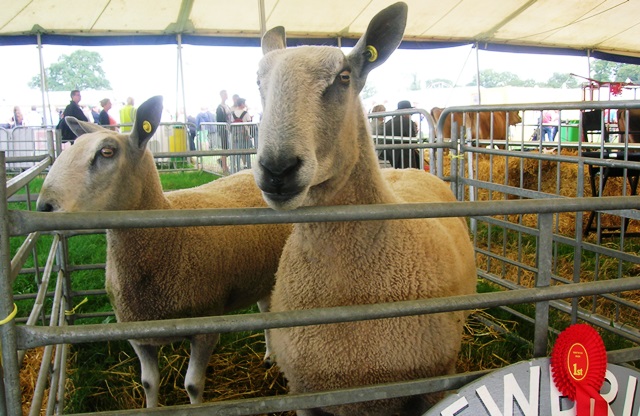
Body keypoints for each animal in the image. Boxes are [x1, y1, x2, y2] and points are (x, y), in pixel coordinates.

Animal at [36, 96, 292, 408]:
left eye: (107, 152)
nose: (44, 207)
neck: (165, 237)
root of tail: (247, 172)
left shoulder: (206, 326)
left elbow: (192, 385)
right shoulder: (137, 331)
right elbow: (148, 382)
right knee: (266, 309)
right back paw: (268, 357)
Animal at [252, 4, 478, 416]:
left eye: (343, 77)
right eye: (258, 80)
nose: (277, 169)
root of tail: (406, 169)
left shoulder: (431, 388)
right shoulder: (303, 394)